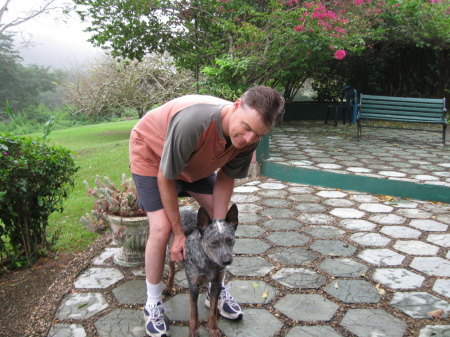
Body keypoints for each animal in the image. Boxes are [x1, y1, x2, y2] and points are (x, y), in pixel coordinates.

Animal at [163, 203, 239, 336]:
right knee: (172, 270)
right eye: (213, 242)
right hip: (170, 254)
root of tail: (182, 208)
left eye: (230, 239)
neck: (209, 263)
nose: (227, 261)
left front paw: (213, 328)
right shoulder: (193, 286)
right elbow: (194, 312)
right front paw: (193, 330)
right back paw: (168, 286)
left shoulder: (216, 283)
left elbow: (213, 310)